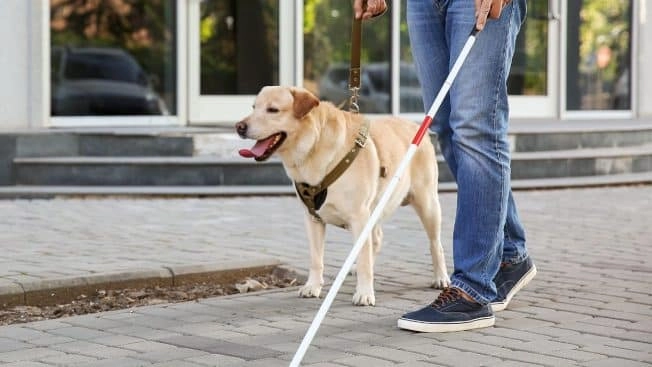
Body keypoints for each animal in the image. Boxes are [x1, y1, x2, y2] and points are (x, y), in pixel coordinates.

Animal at [236, 85, 448, 304]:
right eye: (254, 107)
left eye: (273, 110)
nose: (239, 127)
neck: (313, 146)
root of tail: (415, 125)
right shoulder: (313, 218)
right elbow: (316, 259)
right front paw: (313, 286)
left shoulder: (359, 216)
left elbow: (364, 260)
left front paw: (364, 293)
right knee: (376, 239)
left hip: (428, 204)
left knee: (435, 244)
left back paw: (440, 277)